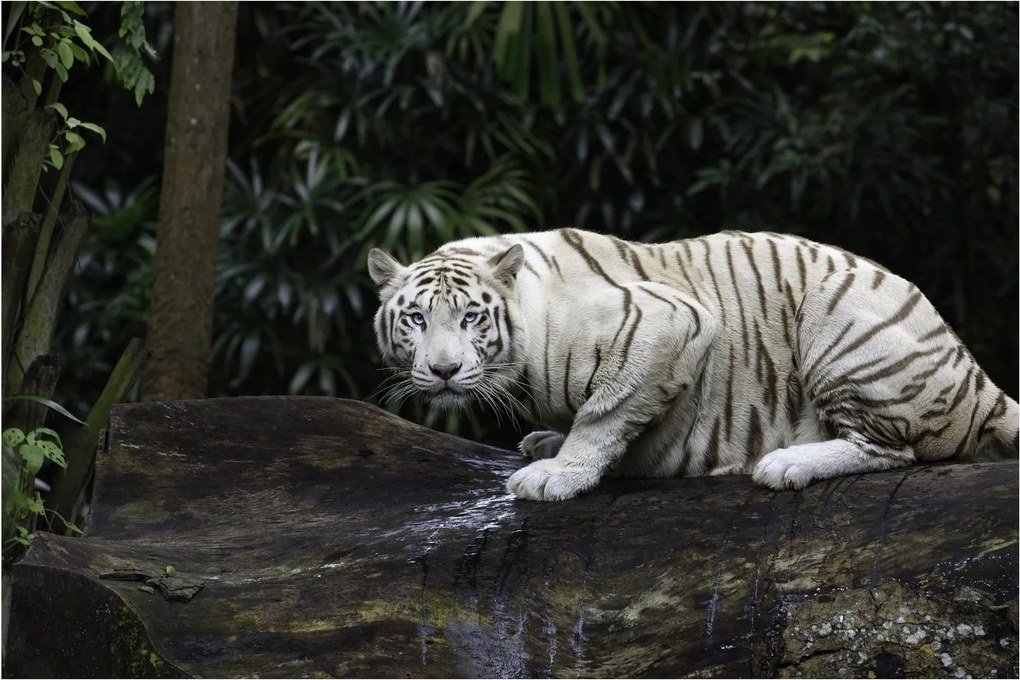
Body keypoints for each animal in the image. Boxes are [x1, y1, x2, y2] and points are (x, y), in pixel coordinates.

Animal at [367, 228, 1019, 501]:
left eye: (472, 319)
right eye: (416, 319)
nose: (444, 371)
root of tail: (977, 378)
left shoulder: (671, 322)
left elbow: (605, 413)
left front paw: (559, 474)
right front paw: (547, 444)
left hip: (837, 317)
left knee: (894, 450)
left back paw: (786, 463)